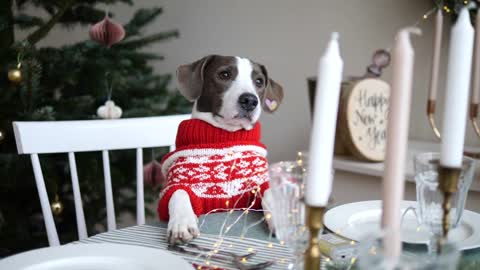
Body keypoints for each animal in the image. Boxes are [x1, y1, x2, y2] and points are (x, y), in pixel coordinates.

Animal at [158, 55, 284, 245]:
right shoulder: (177, 182)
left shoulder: (259, 183)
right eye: (224, 74)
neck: (225, 136)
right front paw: (182, 223)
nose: (250, 100)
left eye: (259, 81)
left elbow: (270, 192)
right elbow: (178, 193)